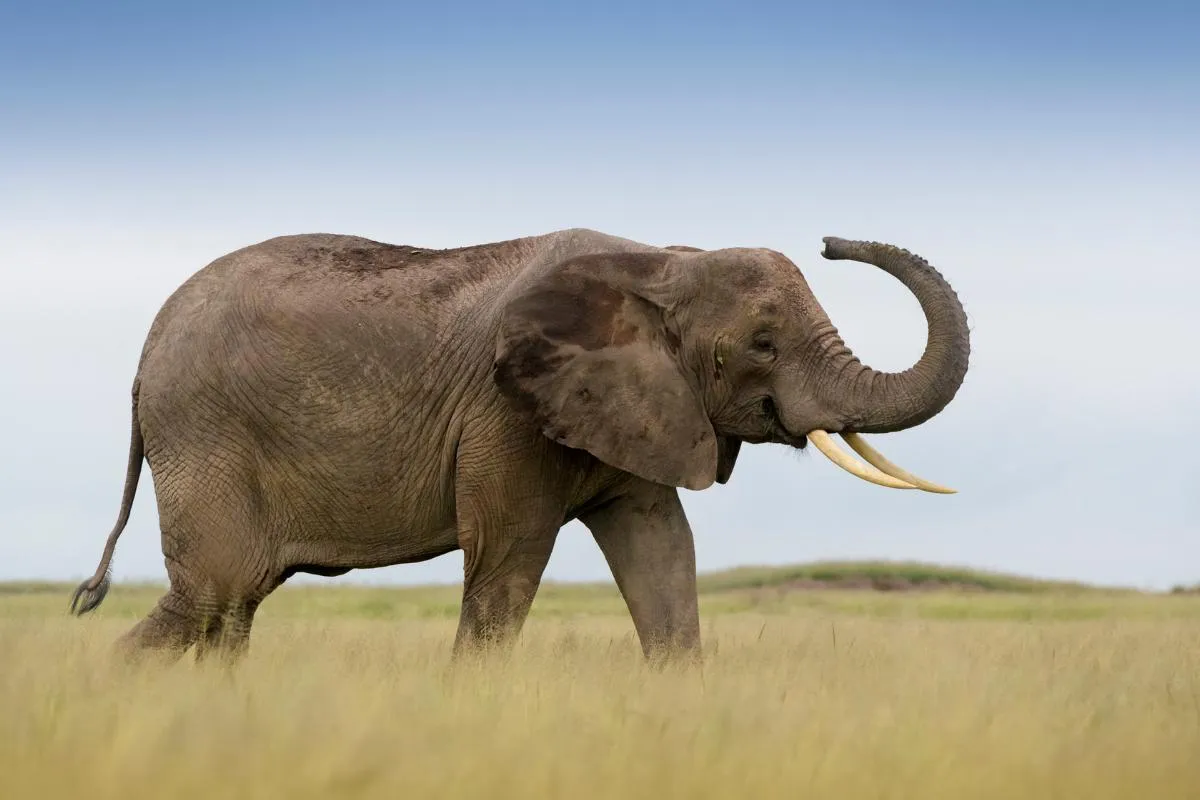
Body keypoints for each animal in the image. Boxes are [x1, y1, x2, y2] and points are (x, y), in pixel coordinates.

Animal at [69, 228, 970, 663]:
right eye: (762, 345)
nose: (831, 241)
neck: (659, 260)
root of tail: (145, 359)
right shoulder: (504, 412)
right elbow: (507, 560)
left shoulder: (638, 404)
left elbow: (662, 552)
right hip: (206, 432)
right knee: (216, 594)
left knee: (232, 610)